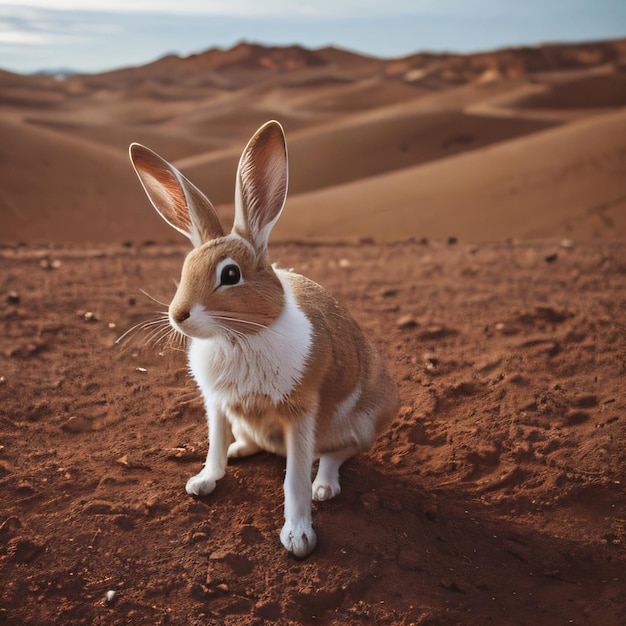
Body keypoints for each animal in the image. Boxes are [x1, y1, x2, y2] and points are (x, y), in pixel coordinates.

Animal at [129, 122, 398, 556]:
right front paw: (202, 482)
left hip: (358, 423)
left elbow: (294, 479)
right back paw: (241, 450)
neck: (237, 338)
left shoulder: (301, 413)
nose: (177, 315)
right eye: (185, 267)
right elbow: (214, 445)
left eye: (230, 275)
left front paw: (299, 537)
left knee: (336, 453)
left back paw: (324, 486)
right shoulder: (218, 404)